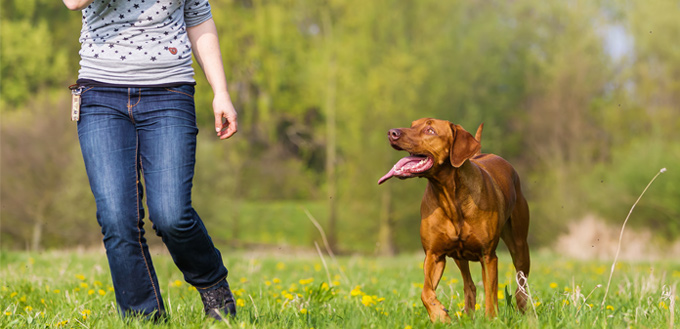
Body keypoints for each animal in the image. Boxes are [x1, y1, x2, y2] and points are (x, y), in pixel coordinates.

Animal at [380, 117, 528, 320]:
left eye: (430, 131)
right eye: (412, 125)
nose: (392, 133)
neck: (449, 195)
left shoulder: (488, 256)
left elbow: (491, 295)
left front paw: (491, 320)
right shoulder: (434, 255)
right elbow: (425, 292)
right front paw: (439, 314)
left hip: (520, 245)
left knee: (522, 284)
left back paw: (524, 311)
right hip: (459, 255)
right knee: (469, 285)